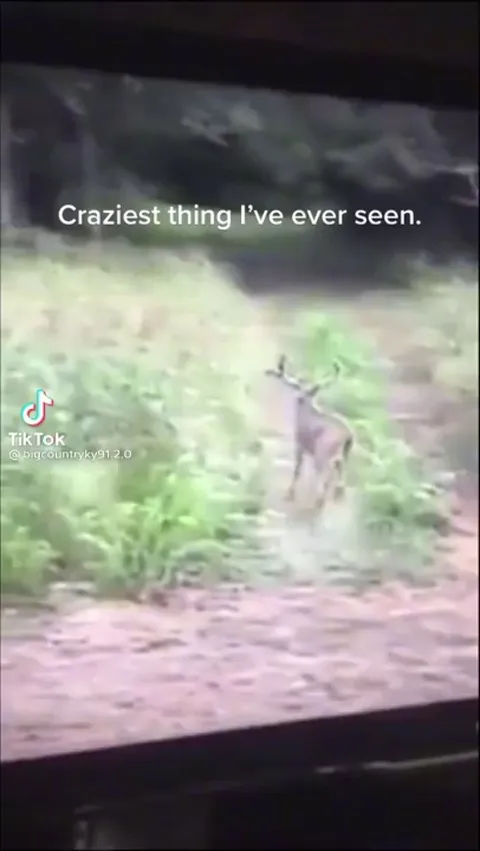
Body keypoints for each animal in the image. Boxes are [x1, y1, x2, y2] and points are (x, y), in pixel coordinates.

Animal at [265, 355, 354, 514]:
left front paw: (289, 494)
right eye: (302, 388)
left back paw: (318, 503)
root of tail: (347, 435)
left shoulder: (299, 444)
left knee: (327, 475)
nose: (299, 397)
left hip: (322, 452)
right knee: (340, 474)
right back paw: (336, 496)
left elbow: (297, 470)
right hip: (344, 454)